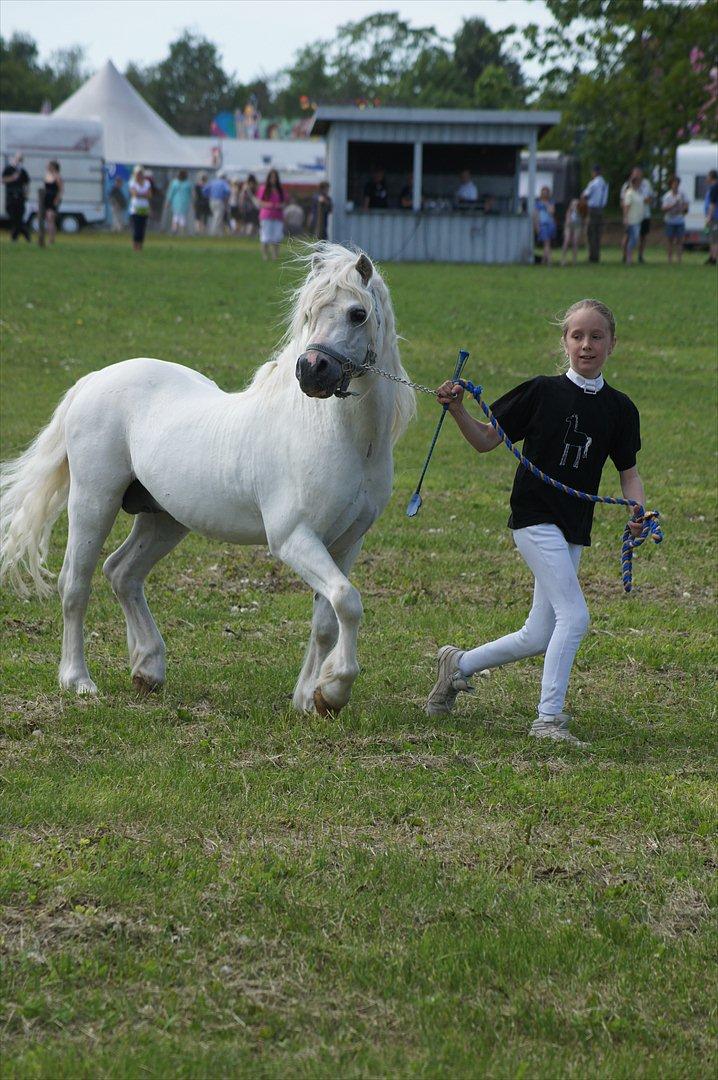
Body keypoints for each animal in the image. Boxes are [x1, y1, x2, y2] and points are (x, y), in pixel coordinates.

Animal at [1, 246, 414, 717]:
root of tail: (93, 379)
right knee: (75, 582)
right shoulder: (294, 538)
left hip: (164, 519)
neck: (339, 437)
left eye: (357, 313)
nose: (312, 371)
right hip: (93, 502)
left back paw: (148, 670)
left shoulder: (346, 543)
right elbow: (348, 601)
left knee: (122, 573)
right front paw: (336, 687)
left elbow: (328, 617)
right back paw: (78, 680)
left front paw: (311, 698)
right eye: (309, 313)